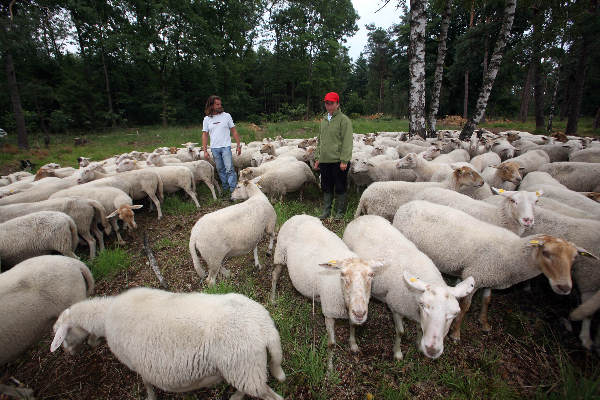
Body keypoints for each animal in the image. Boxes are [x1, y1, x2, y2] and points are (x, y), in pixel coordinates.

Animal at [51, 288, 286, 400]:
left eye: (62, 335)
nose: (68, 352)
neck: (105, 317)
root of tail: (265, 327)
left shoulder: (137, 364)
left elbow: (147, 384)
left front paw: (150, 397)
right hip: (245, 370)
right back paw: (236, 395)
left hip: (244, 368)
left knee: (271, 396)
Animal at [270, 216, 384, 360]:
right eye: (342, 275)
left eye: (371, 275)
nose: (360, 314)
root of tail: (298, 215)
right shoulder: (329, 311)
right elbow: (331, 344)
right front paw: (329, 365)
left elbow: (352, 327)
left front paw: (353, 345)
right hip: (280, 254)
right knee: (275, 275)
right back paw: (272, 299)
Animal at [342, 217, 474, 360]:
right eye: (423, 305)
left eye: (455, 313)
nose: (432, 350)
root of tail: (361, 218)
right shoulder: (395, 307)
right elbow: (400, 332)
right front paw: (397, 353)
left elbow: (419, 328)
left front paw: (419, 345)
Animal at [392, 200, 592, 340]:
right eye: (546, 253)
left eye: (574, 258)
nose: (565, 287)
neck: (512, 254)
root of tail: (406, 206)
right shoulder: (477, 274)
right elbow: (465, 306)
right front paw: (455, 333)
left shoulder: (491, 276)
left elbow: (487, 300)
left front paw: (484, 323)